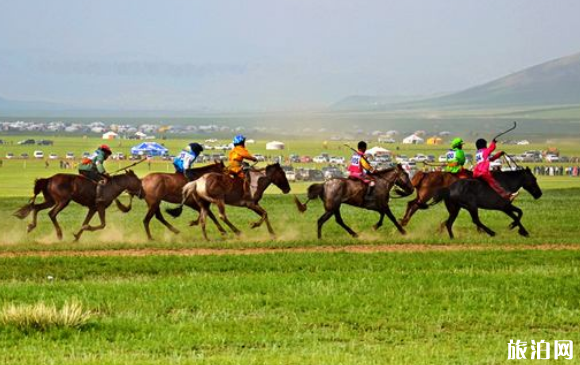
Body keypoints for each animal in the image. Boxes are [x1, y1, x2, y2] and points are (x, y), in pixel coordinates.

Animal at [13, 171, 142, 242]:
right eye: (137, 180)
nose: (141, 192)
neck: (111, 187)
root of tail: (49, 179)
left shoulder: (93, 208)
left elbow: (85, 222)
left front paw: (76, 237)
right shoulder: (100, 207)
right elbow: (102, 224)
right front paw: (86, 228)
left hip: (51, 200)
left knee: (36, 207)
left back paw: (31, 226)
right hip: (63, 201)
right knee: (51, 213)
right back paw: (59, 235)